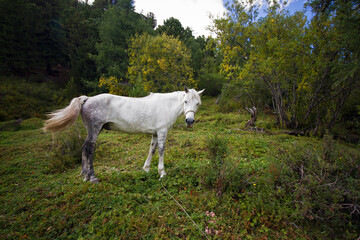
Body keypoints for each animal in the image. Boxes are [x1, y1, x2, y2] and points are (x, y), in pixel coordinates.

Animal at [43, 87, 204, 183]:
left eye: (198, 103)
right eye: (185, 101)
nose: (190, 121)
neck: (166, 105)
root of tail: (87, 99)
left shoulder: (155, 133)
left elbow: (152, 149)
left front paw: (146, 169)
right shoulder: (162, 131)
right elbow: (161, 150)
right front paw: (162, 173)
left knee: (84, 148)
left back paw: (85, 174)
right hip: (94, 130)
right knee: (89, 149)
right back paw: (92, 177)